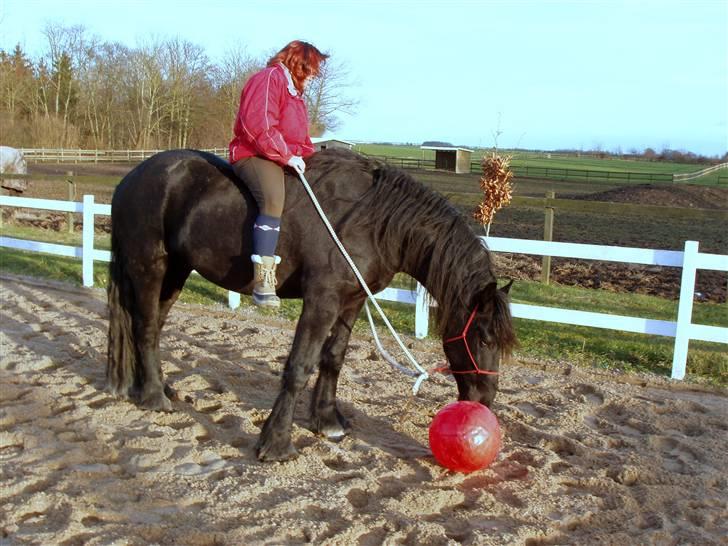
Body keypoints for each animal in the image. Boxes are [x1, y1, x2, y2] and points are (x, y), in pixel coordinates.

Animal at [108, 146, 516, 460]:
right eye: (484, 338)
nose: (486, 400)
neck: (371, 220)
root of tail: (132, 178)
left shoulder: (350, 302)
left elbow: (332, 359)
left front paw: (328, 421)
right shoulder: (322, 300)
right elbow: (300, 366)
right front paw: (276, 442)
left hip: (177, 271)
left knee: (153, 325)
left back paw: (157, 387)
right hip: (150, 266)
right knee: (145, 325)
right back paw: (153, 395)